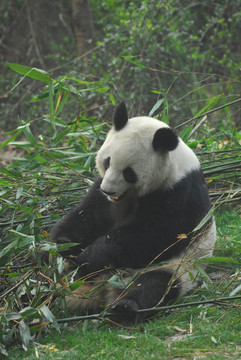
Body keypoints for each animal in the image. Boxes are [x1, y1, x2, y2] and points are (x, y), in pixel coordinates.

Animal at [50, 102, 217, 324]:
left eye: (128, 172)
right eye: (107, 161)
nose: (108, 190)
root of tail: (104, 289)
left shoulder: (181, 193)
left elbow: (153, 236)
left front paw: (89, 257)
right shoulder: (103, 194)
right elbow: (89, 215)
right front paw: (62, 243)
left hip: (177, 268)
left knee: (156, 284)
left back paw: (125, 306)